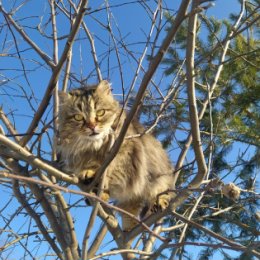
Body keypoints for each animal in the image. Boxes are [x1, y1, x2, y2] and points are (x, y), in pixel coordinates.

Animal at [57, 80, 174, 231]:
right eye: (78, 117)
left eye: (100, 112)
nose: (92, 126)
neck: (95, 147)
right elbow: (90, 167)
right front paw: (89, 174)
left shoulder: (125, 157)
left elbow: (110, 174)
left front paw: (100, 186)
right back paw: (128, 229)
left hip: (159, 177)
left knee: (162, 191)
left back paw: (159, 202)